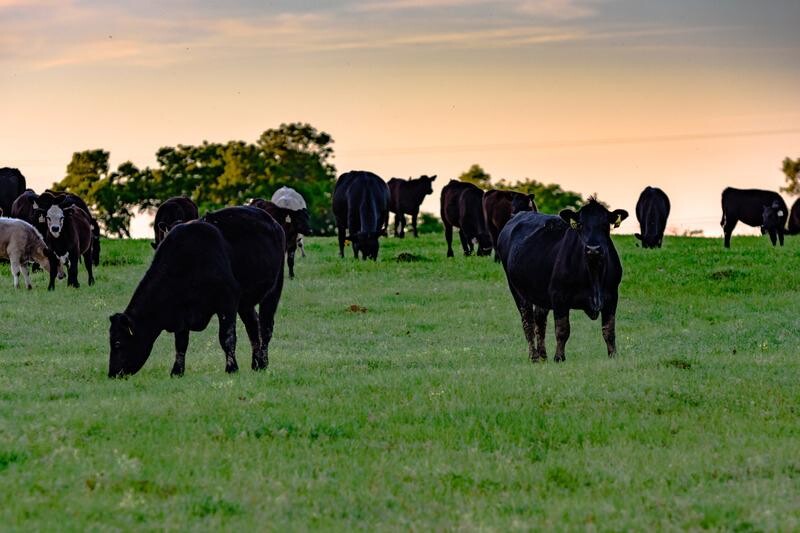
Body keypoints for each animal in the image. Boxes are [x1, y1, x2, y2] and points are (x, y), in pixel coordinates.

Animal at [108, 206, 286, 376]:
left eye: (117, 343)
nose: (112, 373)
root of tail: (273, 222)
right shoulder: (181, 312)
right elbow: (181, 343)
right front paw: (177, 371)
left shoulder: (228, 300)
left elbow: (227, 337)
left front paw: (231, 368)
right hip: (245, 302)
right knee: (253, 327)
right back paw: (256, 364)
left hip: (273, 290)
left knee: (266, 328)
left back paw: (263, 363)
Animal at [496, 197, 628, 364]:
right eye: (580, 225)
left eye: (605, 225)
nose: (593, 249)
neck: (594, 274)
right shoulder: (559, 296)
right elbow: (562, 330)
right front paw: (559, 357)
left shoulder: (611, 297)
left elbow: (609, 330)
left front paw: (613, 356)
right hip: (517, 289)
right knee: (528, 322)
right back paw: (534, 357)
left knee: (540, 321)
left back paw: (543, 356)